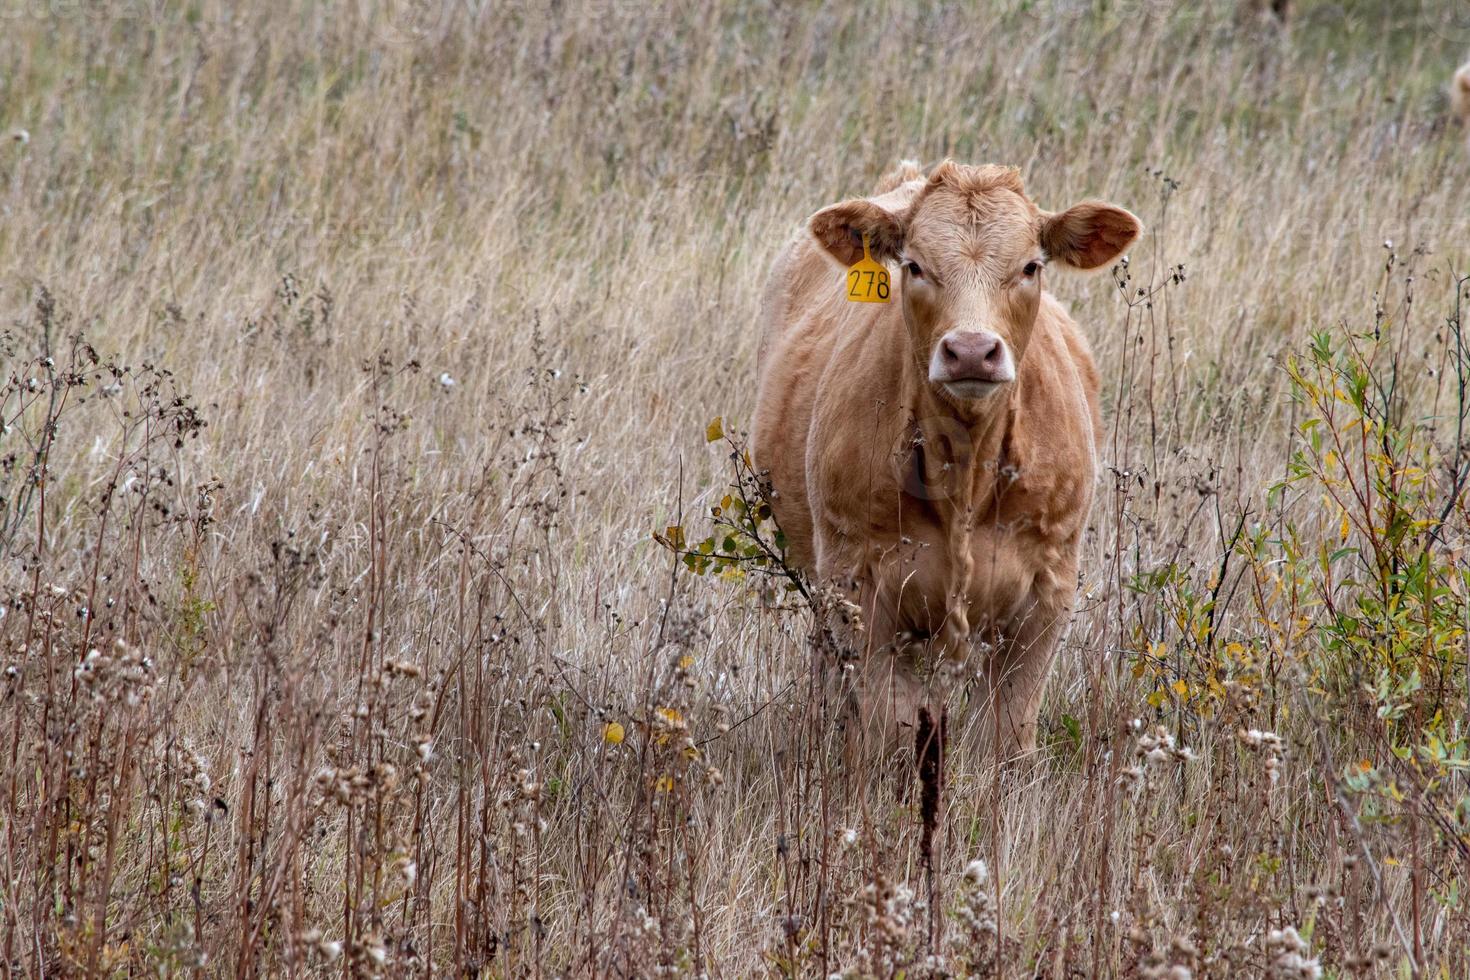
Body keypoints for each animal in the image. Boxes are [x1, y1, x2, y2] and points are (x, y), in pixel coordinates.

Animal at [752, 159, 1140, 758]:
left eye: (1030, 266)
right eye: (914, 266)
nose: (972, 351)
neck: (965, 471)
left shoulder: (1049, 588)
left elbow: (1006, 732)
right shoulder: (856, 583)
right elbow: (894, 726)